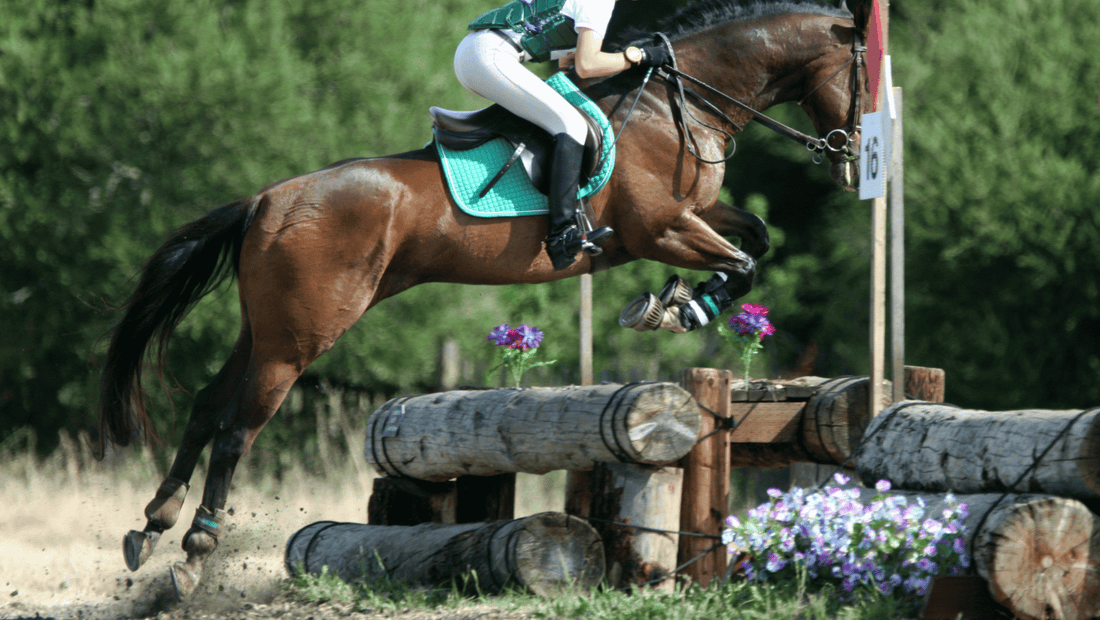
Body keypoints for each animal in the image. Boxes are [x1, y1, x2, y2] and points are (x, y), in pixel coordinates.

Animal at [99, 0, 873, 599]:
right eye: (863, 82)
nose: (850, 156)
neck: (678, 103)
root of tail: (265, 200)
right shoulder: (661, 229)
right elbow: (741, 265)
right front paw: (678, 308)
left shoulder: (693, 216)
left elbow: (756, 238)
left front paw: (678, 303)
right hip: (299, 337)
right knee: (237, 429)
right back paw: (194, 557)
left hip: (263, 327)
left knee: (207, 406)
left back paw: (152, 526)